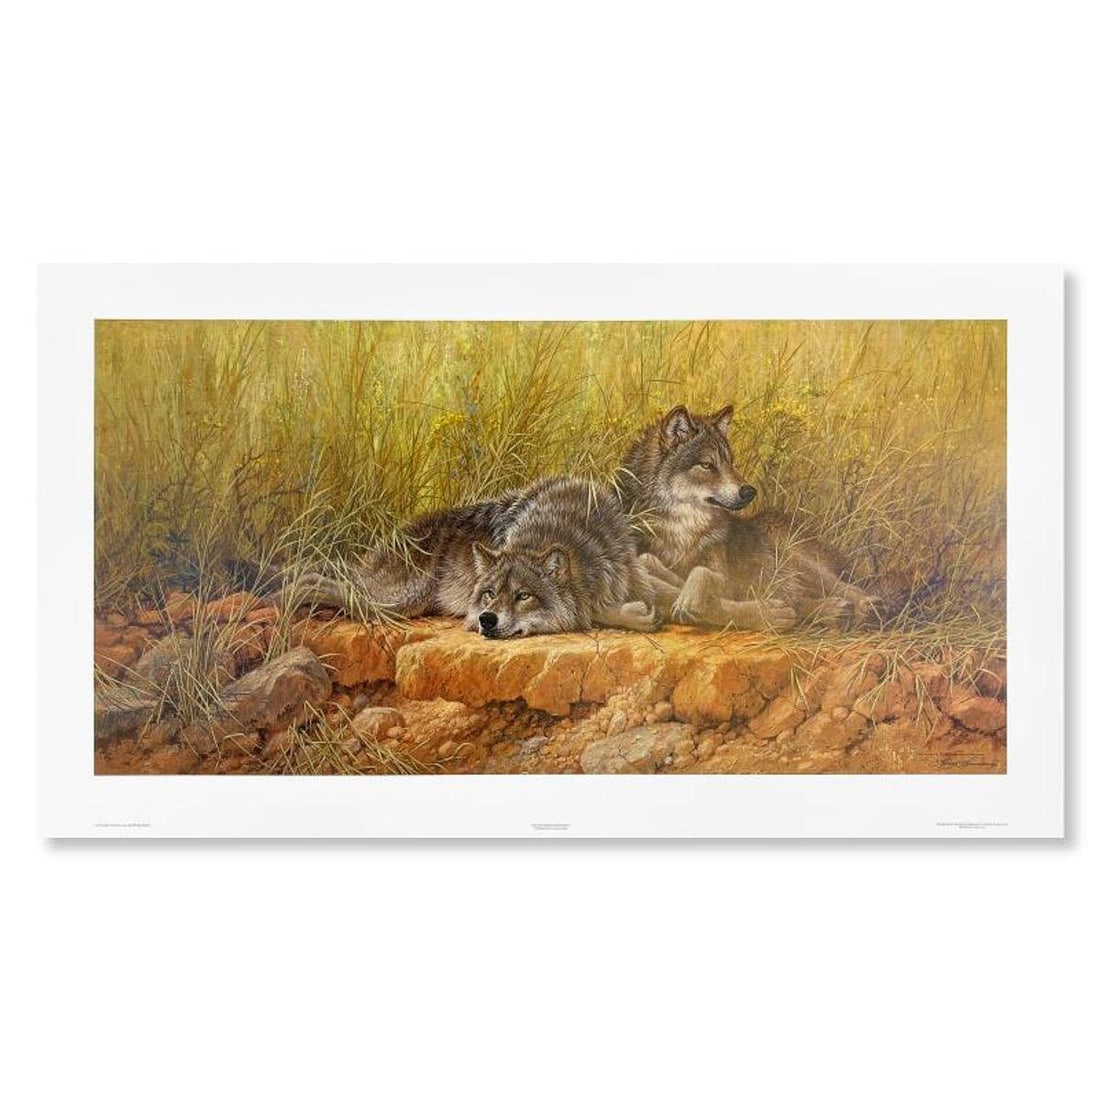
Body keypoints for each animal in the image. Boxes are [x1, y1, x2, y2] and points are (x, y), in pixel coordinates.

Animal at [277, 477, 657, 637]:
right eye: (489, 593)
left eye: (523, 596)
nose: (486, 619)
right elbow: (597, 611)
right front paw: (633, 614)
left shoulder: (624, 569)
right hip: (395, 601)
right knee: (328, 583)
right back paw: (288, 594)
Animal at [618, 405, 883, 630]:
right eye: (707, 465)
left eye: (731, 463)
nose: (749, 491)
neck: (683, 528)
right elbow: (659, 570)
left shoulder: (727, 579)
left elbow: (702, 573)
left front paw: (690, 598)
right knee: (801, 600)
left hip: (790, 551)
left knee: (842, 586)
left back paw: (866, 606)